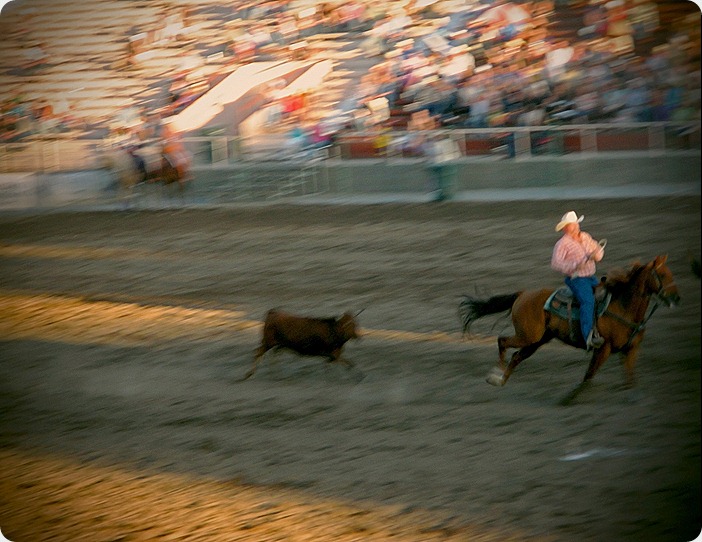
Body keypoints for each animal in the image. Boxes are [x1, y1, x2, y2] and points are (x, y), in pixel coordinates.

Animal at [458, 255, 680, 403]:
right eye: (661, 274)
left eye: (671, 273)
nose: (676, 298)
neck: (623, 308)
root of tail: (523, 294)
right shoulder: (603, 348)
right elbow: (588, 375)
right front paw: (569, 398)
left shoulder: (631, 350)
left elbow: (631, 379)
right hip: (528, 336)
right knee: (502, 341)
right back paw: (496, 372)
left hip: (537, 340)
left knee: (516, 357)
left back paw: (500, 380)